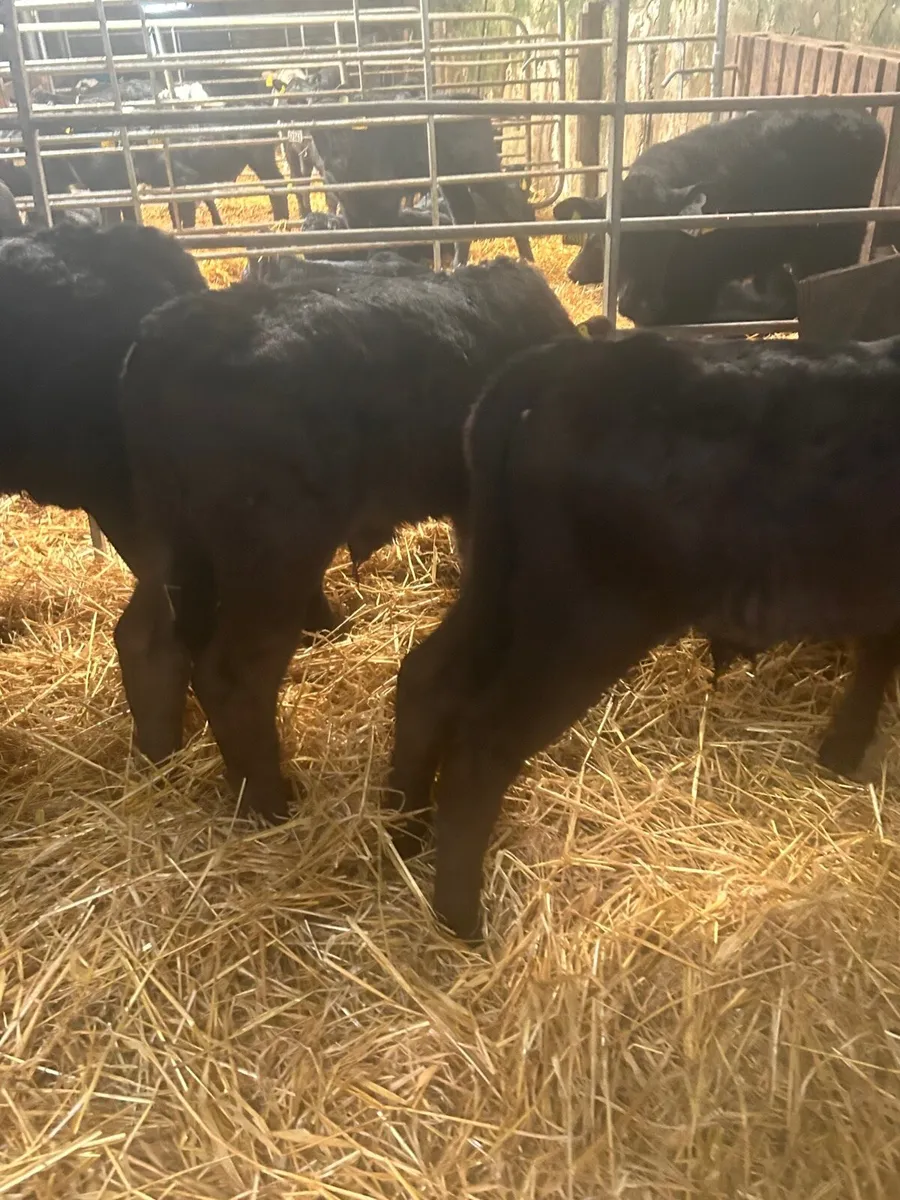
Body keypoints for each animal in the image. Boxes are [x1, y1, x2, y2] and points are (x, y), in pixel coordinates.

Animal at [114, 258, 574, 821]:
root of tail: (164, 339)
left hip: (170, 539)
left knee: (147, 638)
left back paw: (161, 759)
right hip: (276, 553)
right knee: (235, 677)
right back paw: (271, 805)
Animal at [387, 329, 900, 940]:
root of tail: (557, 362)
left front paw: (845, 747)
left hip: (499, 592)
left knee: (425, 680)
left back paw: (402, 832)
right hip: (588, 624)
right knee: (482, 748)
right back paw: (460, 918)